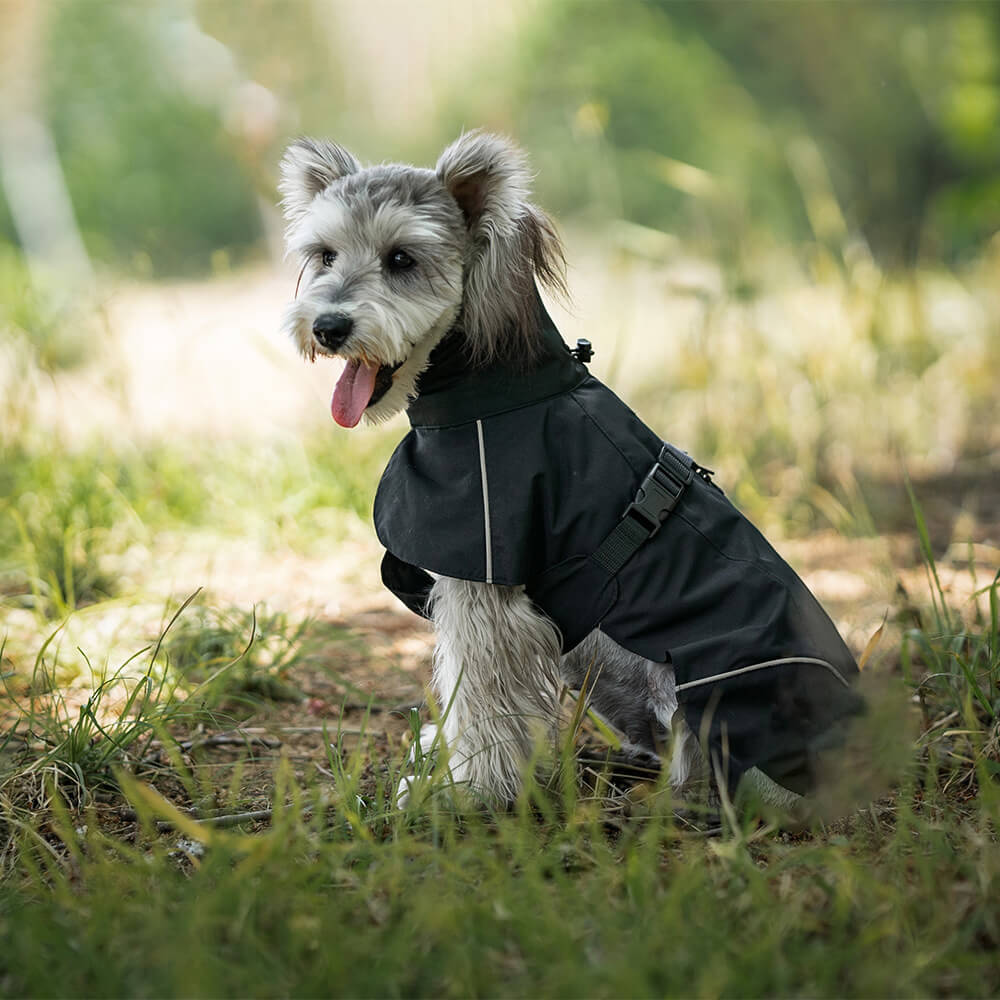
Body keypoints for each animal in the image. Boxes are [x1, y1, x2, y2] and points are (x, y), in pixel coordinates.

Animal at [278, 129, 864, 808]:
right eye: (325, 254)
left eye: (401, 259)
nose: (328, 326)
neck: (495, 390)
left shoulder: (486, 584)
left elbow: (482, 696)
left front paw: (469, 789)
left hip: (703, 696)